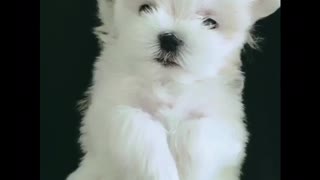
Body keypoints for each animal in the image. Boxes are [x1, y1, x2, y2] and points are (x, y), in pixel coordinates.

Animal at [67, 0, 280, 179]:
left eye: (210, 23)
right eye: (145, 8)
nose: (170, 39)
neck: (168, 81)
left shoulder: (225, 123)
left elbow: (199, 133)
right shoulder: (111, 109)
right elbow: (138, 127)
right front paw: (160, 173)